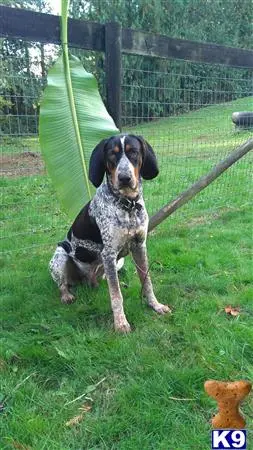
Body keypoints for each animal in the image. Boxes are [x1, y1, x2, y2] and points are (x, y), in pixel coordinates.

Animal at [49, 134, 170, 330]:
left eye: (133, 152)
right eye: (112, 155)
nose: (124, 178)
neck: (128, 205)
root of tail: (87, 281)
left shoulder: (139, 247)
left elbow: (147, 282)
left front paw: (155, 306)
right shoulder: (108, 254)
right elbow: (116, 296)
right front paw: (120, 323)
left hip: (117, 263)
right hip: (60, 257)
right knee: (63, 284)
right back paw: (67, 295)